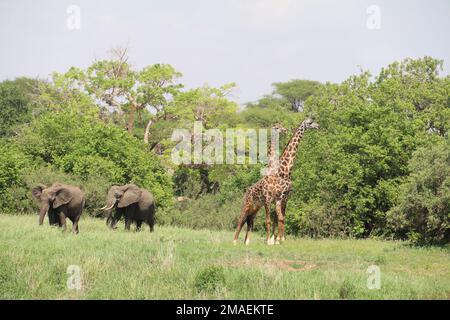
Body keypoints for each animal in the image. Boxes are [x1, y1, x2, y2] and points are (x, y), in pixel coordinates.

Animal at [234, 117, 318, 245]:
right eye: (310, 122)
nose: (318, 126)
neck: (284, 173)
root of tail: (246, 191)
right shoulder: (270, 199)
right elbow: (270, 220)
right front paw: (271, 240)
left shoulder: (283, 198)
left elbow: (280, 218)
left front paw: (278, 239)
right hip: (247, 205)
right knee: (241, 219)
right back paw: (234, 241)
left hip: (255, 207)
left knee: (250, 221)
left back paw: (247, 242)